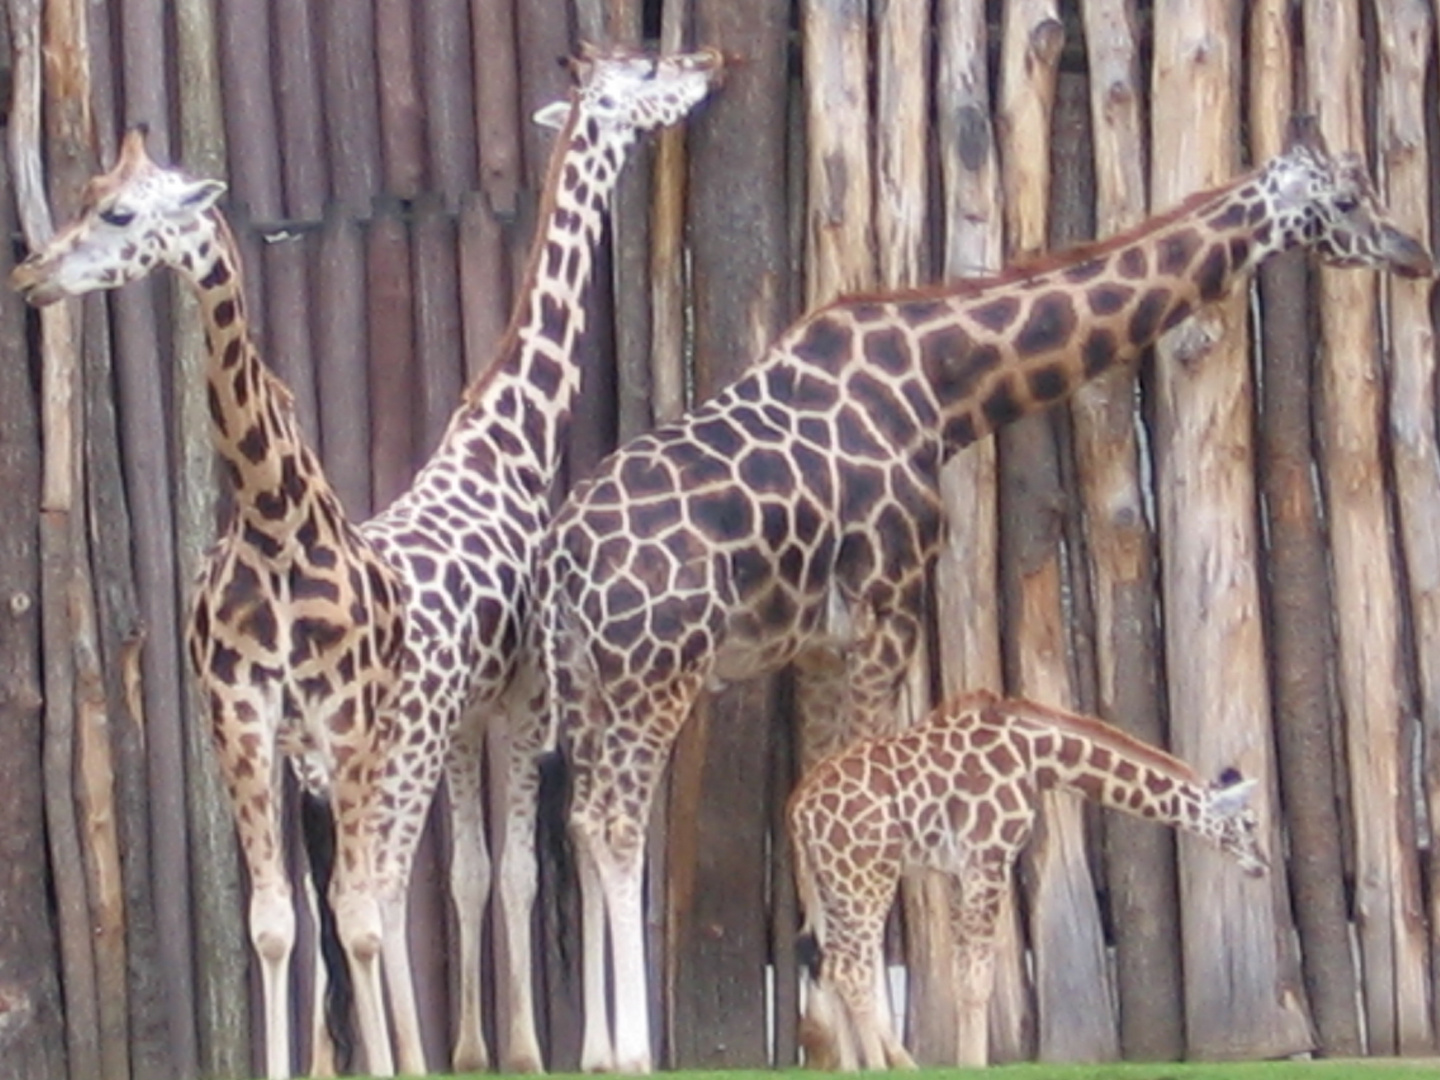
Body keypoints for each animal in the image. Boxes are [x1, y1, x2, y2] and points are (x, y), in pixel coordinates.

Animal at [15, 124, 411, 1077]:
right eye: (83, 195)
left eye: (121, 213)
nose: (30, 274)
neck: (273, 518)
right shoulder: (241, 714)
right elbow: (274, 924)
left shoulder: (345, 721)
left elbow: (359, 920)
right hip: (304, 762)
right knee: (325, 905)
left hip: (370, 744)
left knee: (373, 906)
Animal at [357, 42, 720, 1077]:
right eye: (649, 74)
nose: (708, 67)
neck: (509, 435)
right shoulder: (520, 697)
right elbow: (516, 869)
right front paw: (524, 1048)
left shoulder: (476, 714)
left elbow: (474, 874)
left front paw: (478, 1048)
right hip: (400, 742)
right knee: (376, 887)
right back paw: (398, 1057)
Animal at [789, 688, 1272, 1071]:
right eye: (1249, 823)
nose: (1263, 867)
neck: (1038, 755)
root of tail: (797, 810)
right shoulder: (989, 859)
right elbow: (977, 978)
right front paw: (973, 1067)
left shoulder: (958, 871)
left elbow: (963, 974)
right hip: (865, 875)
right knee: (849, 968)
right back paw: (879, 1067)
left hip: (834, 882)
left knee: (830, 964)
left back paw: (862, 1068)